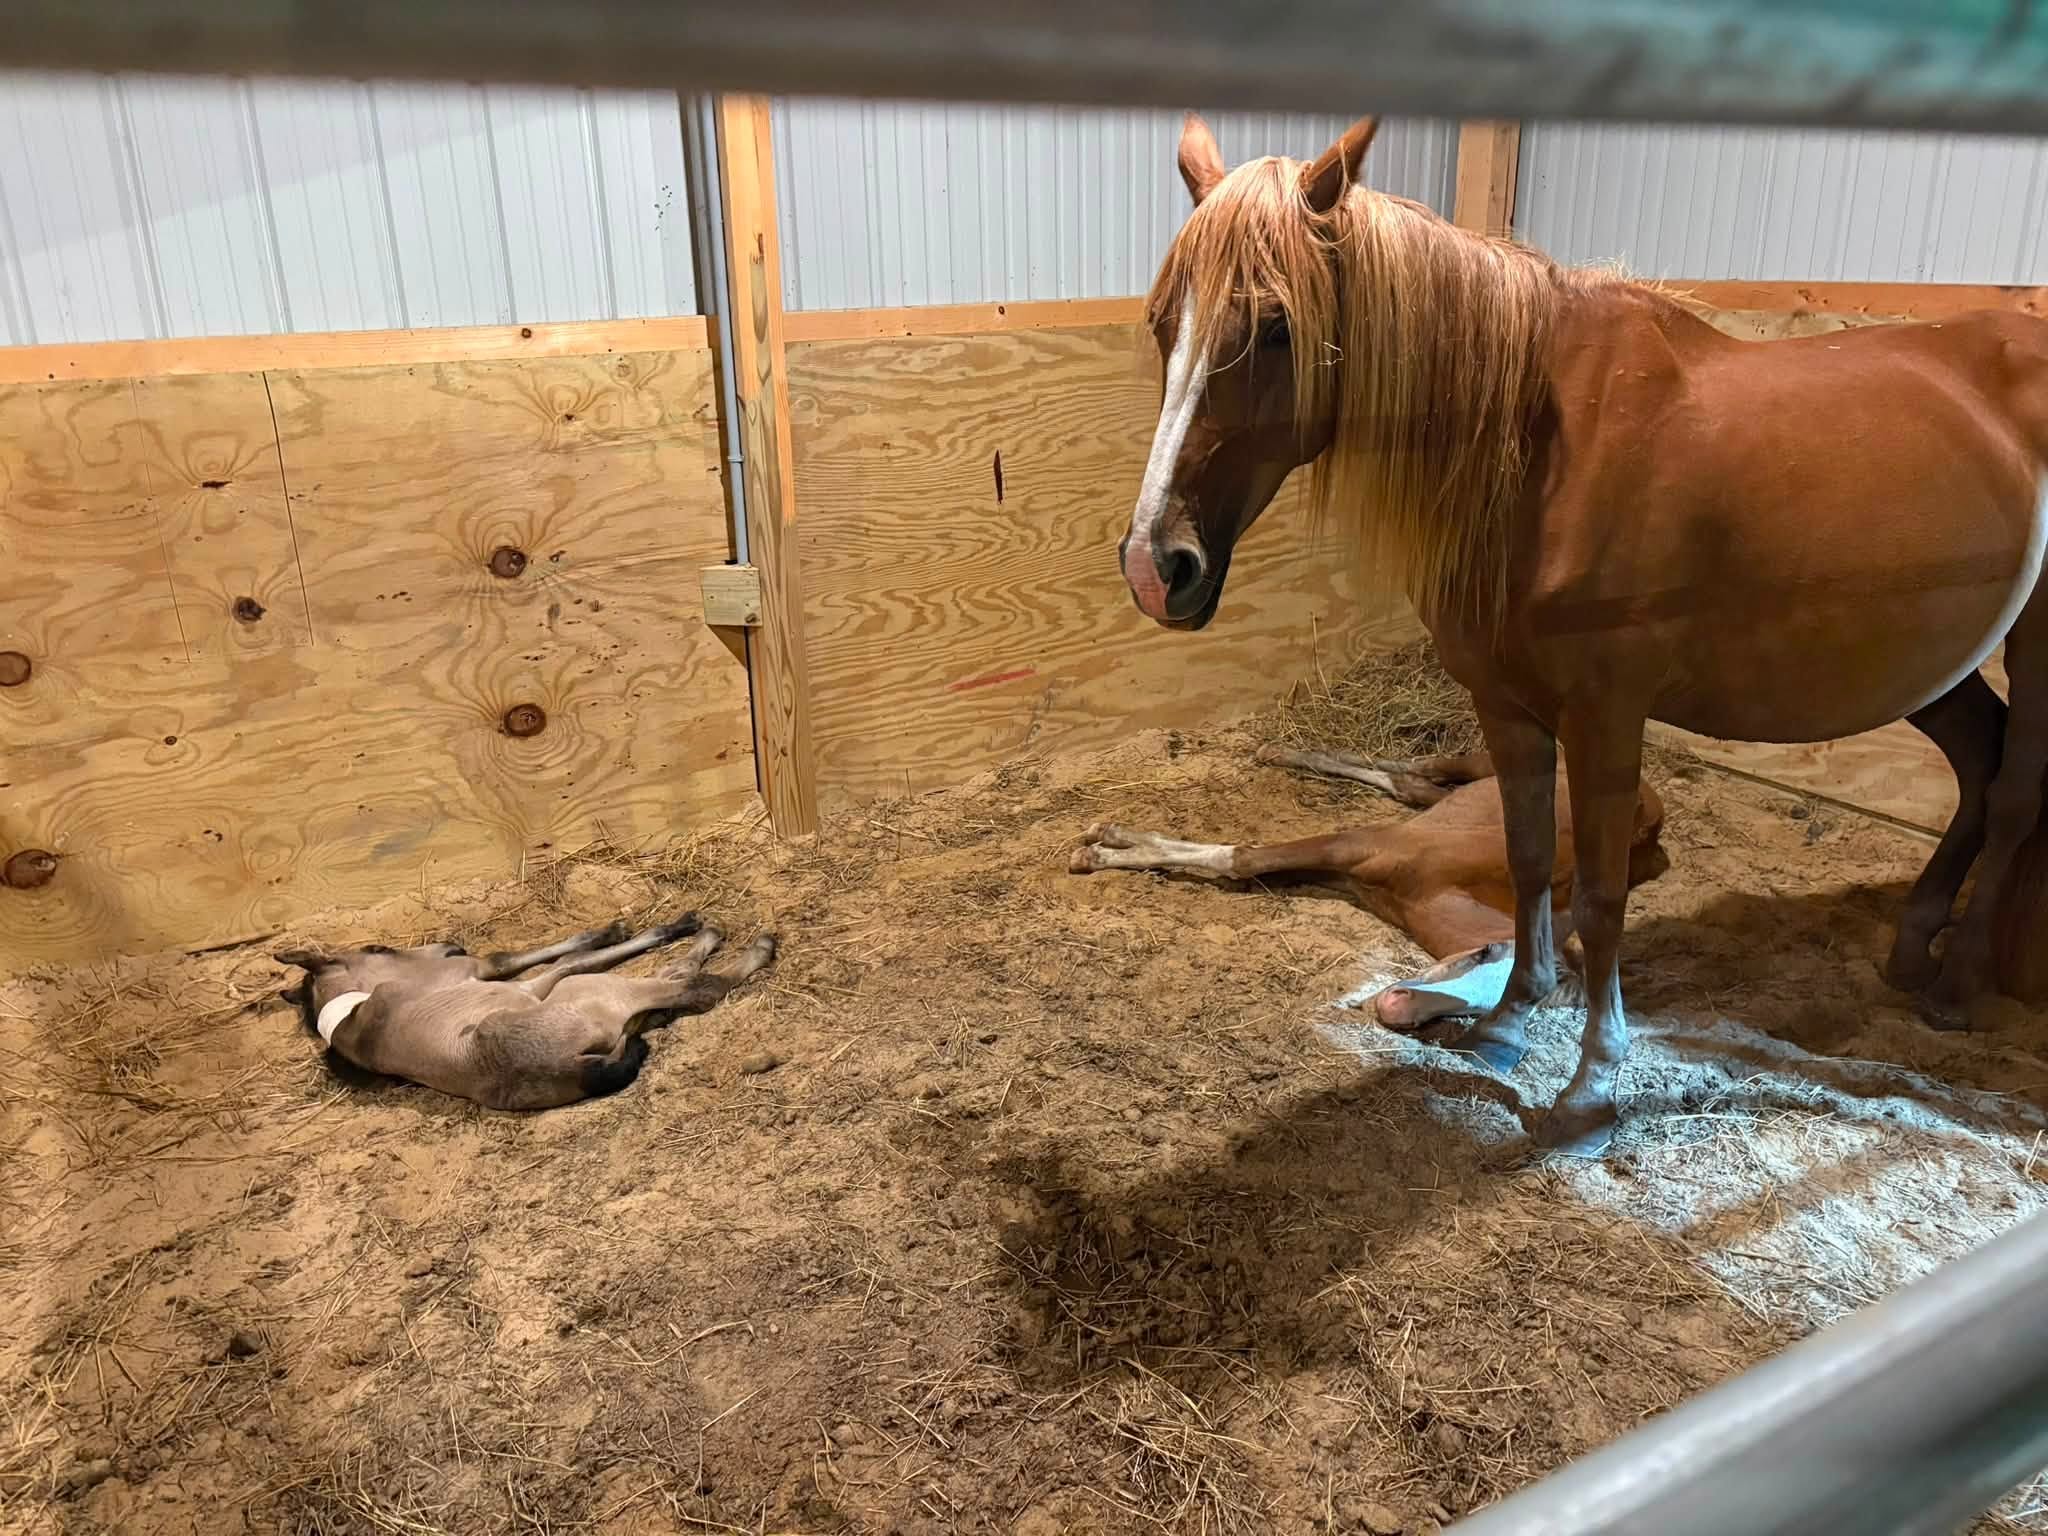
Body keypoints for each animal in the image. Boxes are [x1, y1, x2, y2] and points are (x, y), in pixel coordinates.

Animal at [275, 913, 777, 1110]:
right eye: (376, 949)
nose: (452, 946)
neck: (356, 1015)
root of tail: (569, 1068)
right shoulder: (496, 977)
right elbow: (554, 959)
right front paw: (628, 931)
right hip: (596, 991)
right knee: (695, 987)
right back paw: (739, 942)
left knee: (671, 989)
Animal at [1069, 746, 1668, 1027]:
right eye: (1484, 953)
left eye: (1490, 1010)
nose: (1394, 1009)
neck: (1433, 884)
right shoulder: (1354, 844)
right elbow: (1241, 859)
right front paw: (1102, 847)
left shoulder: (1347, 870)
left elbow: (1249, 864)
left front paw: (1108, 843)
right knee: (1421, 765)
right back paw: (1280, 752)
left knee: (1411, 784)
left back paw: (1285, 754)